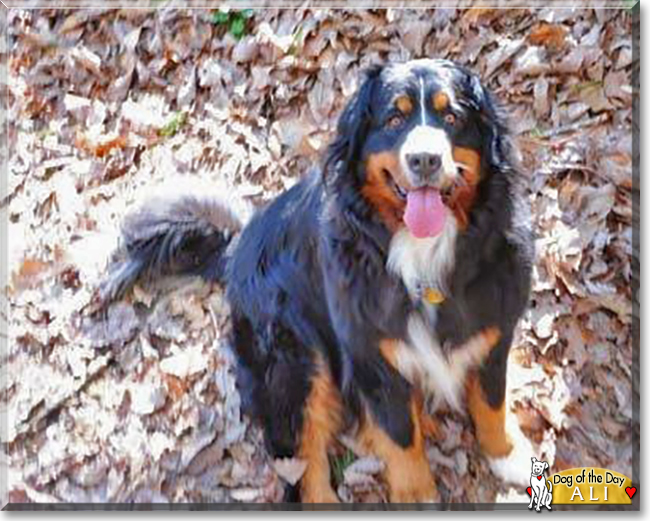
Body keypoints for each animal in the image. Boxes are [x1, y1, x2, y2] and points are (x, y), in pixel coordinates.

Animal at [100, 59, 532, 502]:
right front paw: (417, 494)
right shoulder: (369, 354)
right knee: (304, 458)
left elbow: (491, 398)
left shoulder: (494, 326)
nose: (425, 159)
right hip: (296, 360)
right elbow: (399, 435)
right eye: (394, 119)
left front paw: (506, 454)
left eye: (452, 118)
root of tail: (236, 251)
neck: (422, 253)